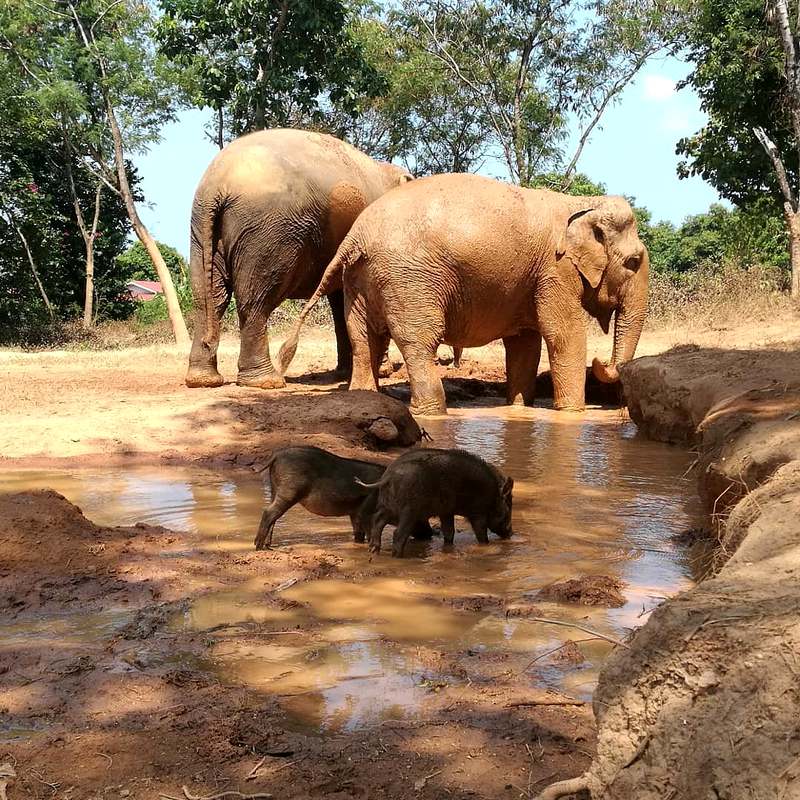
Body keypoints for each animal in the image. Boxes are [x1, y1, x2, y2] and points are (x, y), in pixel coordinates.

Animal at [184, 128, 413, 389]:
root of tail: (216, 185)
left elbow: (341, 300)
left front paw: (346, 372)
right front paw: (382, 371)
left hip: (202, 230)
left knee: (208, 298)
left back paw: (203, 380)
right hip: (268, 233)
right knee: (255, 300)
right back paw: (266, 381)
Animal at [278, 173, 649, 415]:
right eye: (633, 262)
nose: (601, 363)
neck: (582, 204)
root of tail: (356, 235)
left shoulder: (533, 278)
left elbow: (525, 343)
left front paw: (518, 408)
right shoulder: (555, 271)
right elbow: (563, 335)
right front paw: (573, 415)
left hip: (359, 279)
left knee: (364, 338)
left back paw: (366, 399)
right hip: (410, 280)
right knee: (418, 341)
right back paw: (432, 410)